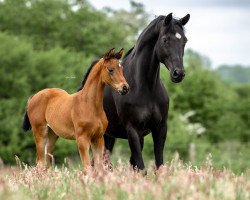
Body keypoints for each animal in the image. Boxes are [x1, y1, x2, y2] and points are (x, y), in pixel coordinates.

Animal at [103, 13, 189, 170]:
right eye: (165, 39)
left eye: (184, 41)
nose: (178, 74)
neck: (144, 87)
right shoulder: (132, 130)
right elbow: (142, 168)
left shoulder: (160, 128)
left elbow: (157, 165)